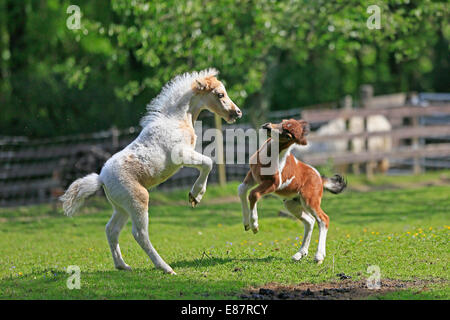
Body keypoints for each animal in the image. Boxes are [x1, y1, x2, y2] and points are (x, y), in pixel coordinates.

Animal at [62, 69, 243, 274]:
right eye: (220, 94)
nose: (237, 112)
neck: (176, 120)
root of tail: (101, 178)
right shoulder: (182, 155)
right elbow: (208, 163)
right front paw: (195, 195)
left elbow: (207, 164)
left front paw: (195, 196)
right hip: (138, 199)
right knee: (139, 233)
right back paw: (165, 267)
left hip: (121, 208)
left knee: (111, 230)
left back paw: (122, 265)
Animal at [237, 119, 346, 264]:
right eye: (283, 122)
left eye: (288, 135)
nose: (267, 126)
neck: (269, 157)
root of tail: (319, 178)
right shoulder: (253, 176)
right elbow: (241, 190)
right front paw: (246, 224)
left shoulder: (273, 184)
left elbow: (253, 194)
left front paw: (254, 225)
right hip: (292, 203)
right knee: (310, 221)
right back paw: (300, 254)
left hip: (310, 201)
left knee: (323, 219)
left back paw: (318, 256)